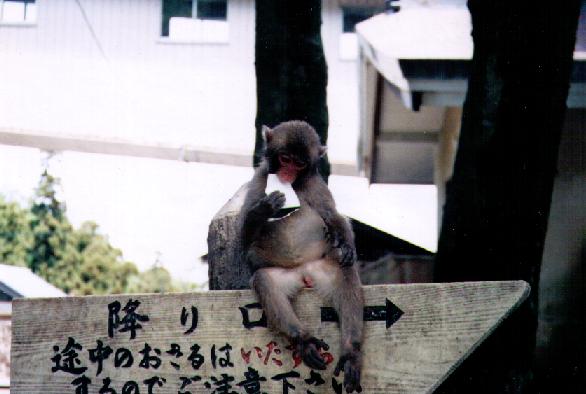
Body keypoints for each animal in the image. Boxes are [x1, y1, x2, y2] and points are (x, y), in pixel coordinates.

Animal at [235, 121, 362, 394]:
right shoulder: (260, 178)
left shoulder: (314, 182)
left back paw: (351, 350)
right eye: (285, 158)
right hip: (288, 276)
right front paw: (265, 207)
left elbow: (333, 216)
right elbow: (244, 236)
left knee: (345, 270)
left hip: (322, 269)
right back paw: (302, 339)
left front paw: (346, 243)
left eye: (299, 164)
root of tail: (304, 273)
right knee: (264, 280)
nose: (286, 174)